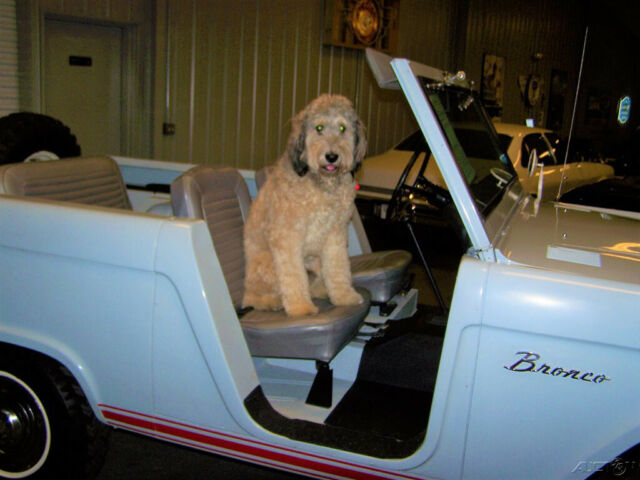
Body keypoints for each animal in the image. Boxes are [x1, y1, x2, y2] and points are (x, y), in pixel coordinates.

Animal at [242, 94, 368, 318]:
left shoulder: (335, 235)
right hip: (267, 264)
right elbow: (293, 276)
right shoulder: (287, 237)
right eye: (319, 128)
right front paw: (301, 307)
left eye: (342, 128)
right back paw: (273, 301)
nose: (331, 156)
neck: (322, 184)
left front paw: (344, 296)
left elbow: (338, 268)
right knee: (256, 298)